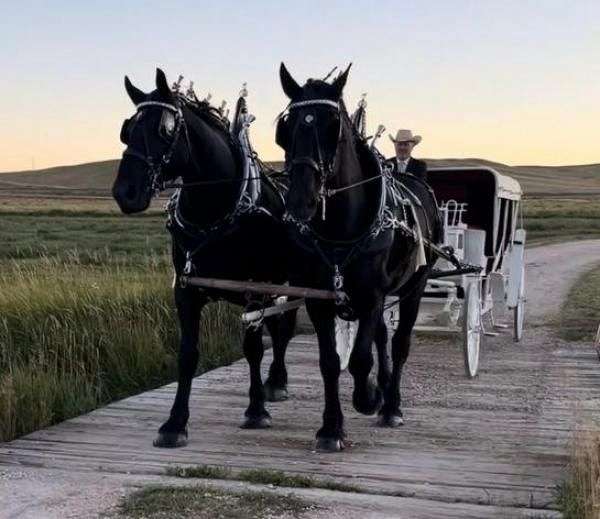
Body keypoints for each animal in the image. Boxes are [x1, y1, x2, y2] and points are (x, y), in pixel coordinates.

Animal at [112, 69, 296, 448]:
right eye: (127, 128)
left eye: (165, 130)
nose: (125, 192)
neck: (217, 211)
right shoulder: (185, 290)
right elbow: (187, 354)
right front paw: (174, 423)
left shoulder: (254, 288)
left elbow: (252, 347)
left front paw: (255, 410)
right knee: (279, 329)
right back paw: (275, 382)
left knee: (284, 329)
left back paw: (275, 383)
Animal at [276, 64, 440, 450]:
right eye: (285, 129)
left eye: (333, 124)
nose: (301, 201)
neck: (340, 229)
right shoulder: (318, 298)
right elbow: (330, 362)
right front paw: (331, 427)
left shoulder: (373, 294)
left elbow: (361, 358)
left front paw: (367, 398)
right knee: (381, 335)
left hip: (414, 286)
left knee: (400, 342)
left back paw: (390, 405)